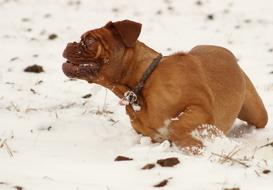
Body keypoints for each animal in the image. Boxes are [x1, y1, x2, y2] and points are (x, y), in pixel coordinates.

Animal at [61, 19, 266, 150]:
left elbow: (176, 125)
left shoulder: (200, 108)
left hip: (257, 114)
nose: (70, 43)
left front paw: (194, 145)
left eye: (89, 40)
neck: (141, 84)